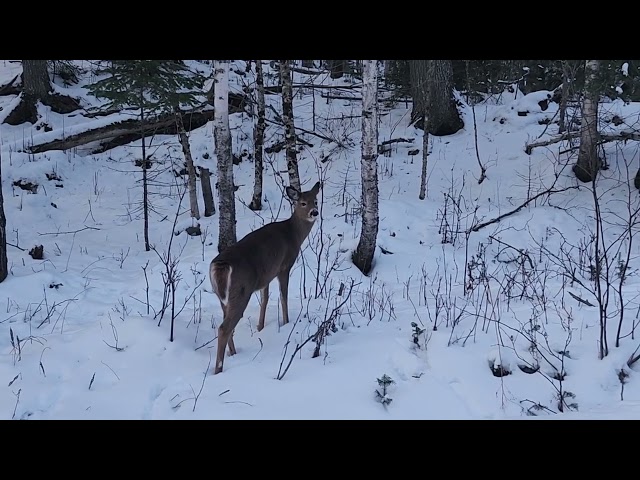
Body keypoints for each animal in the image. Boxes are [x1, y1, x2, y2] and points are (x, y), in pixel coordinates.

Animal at [209, 180, 322, 376]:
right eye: (302, 203)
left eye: (315, 201)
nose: (314, 212)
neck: (293, 235)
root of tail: (220, 265)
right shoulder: (284, 266)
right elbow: (283, 297)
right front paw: (285, 323)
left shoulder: (265, 276)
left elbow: (265, 299)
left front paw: (260, 327)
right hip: (241, 291)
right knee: (224, 327)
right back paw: (218, 370)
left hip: (222, 296)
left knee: (225, 323)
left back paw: (234, 353)